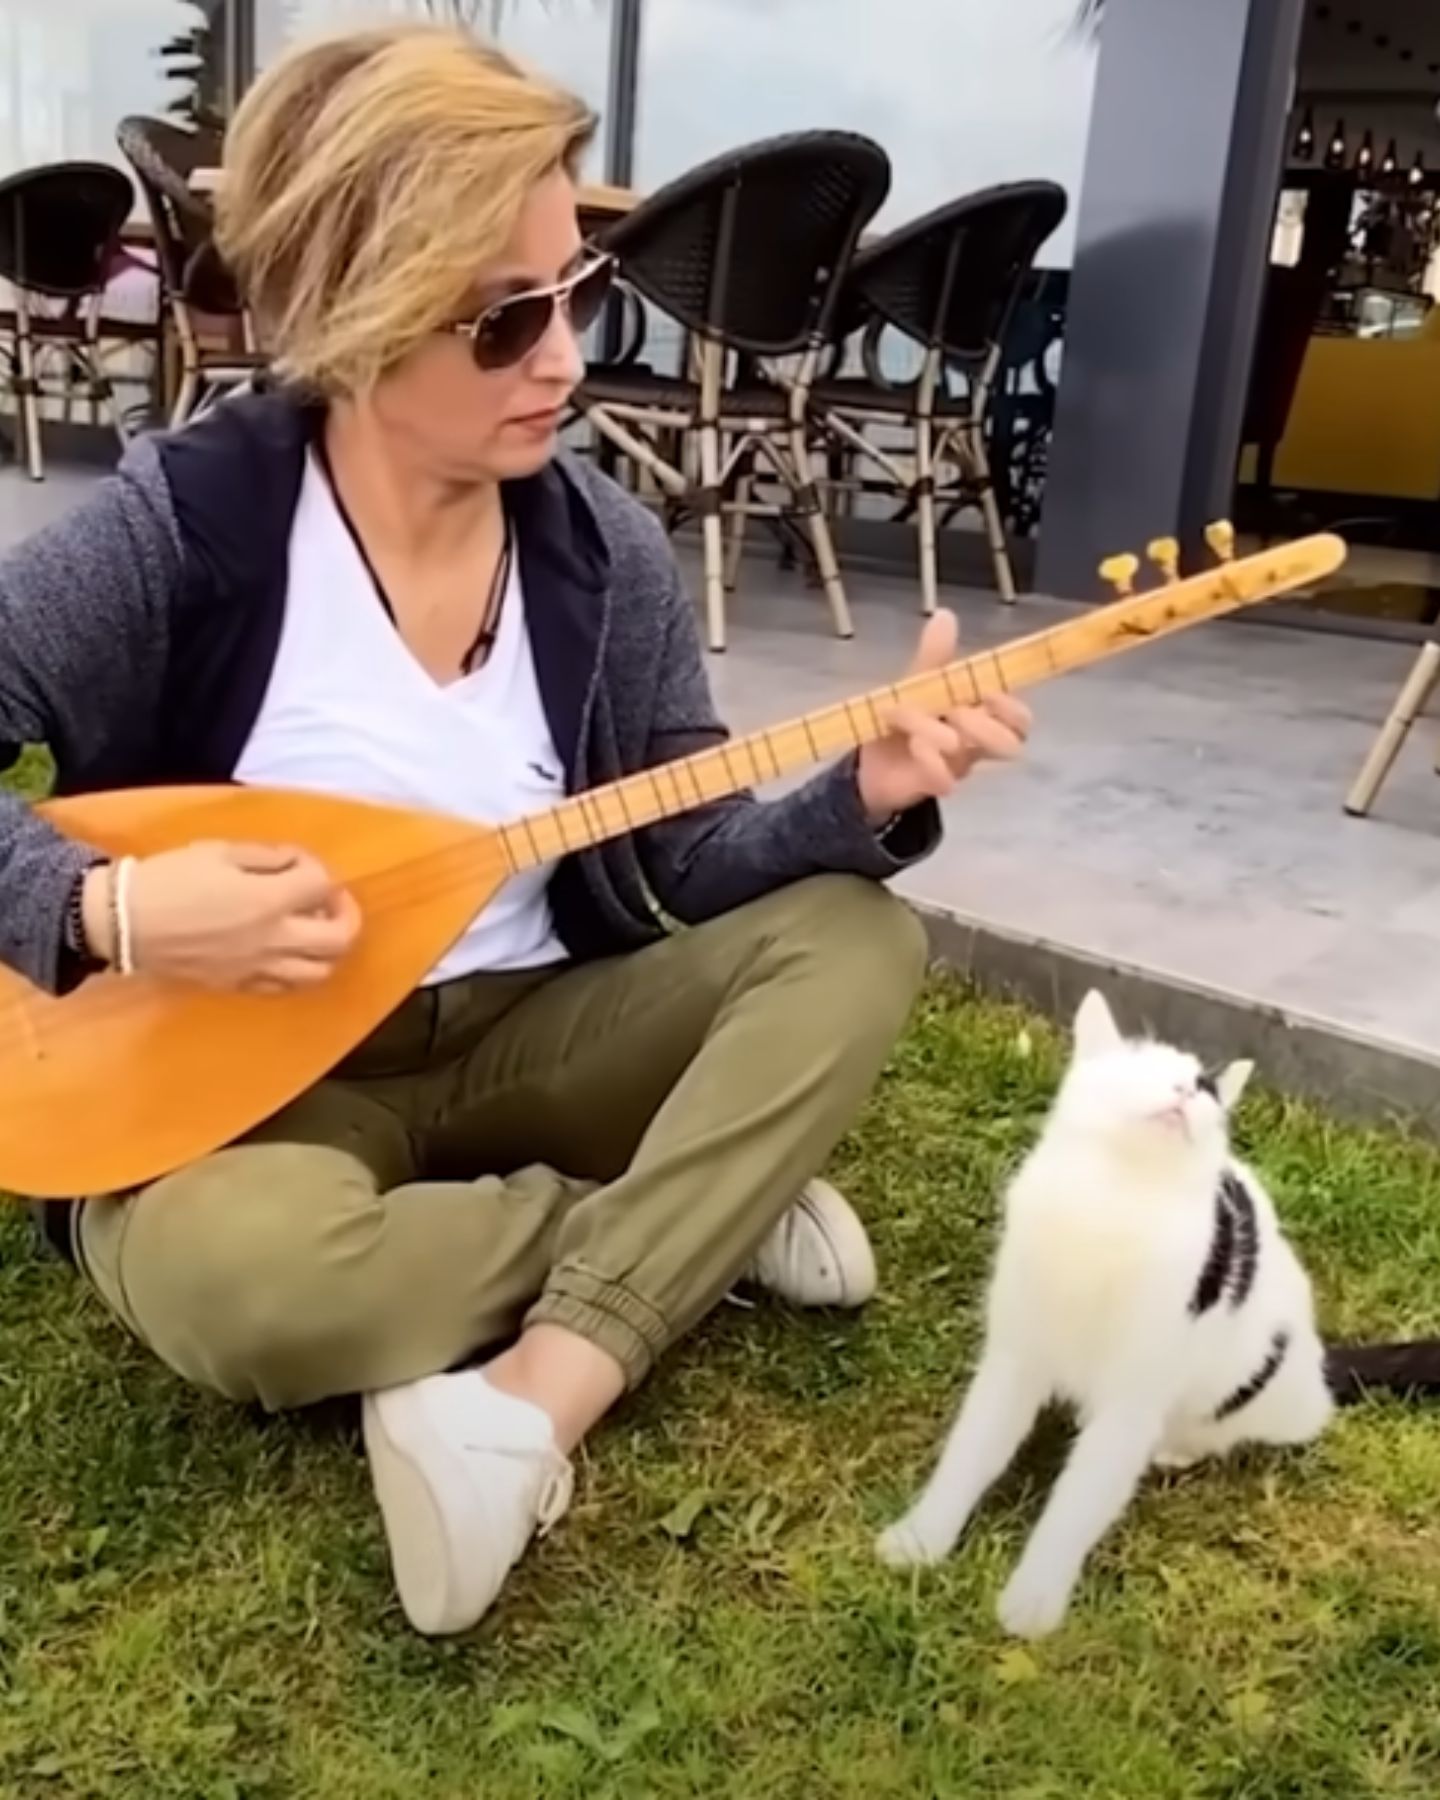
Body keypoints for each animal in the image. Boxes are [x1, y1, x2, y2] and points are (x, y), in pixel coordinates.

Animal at [878, 993, 1339, 1641]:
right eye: (1140, 1063)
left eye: (1206, 1087)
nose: (1185, 1087)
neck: (1116, 1201)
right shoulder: (1013, 1359)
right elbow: (971, 1452)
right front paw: (921, 1539)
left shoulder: (1131, 1403)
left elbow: (1078, 1502)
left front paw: (1034, 1601)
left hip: (1267, 1379)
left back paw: (1177, 1447)